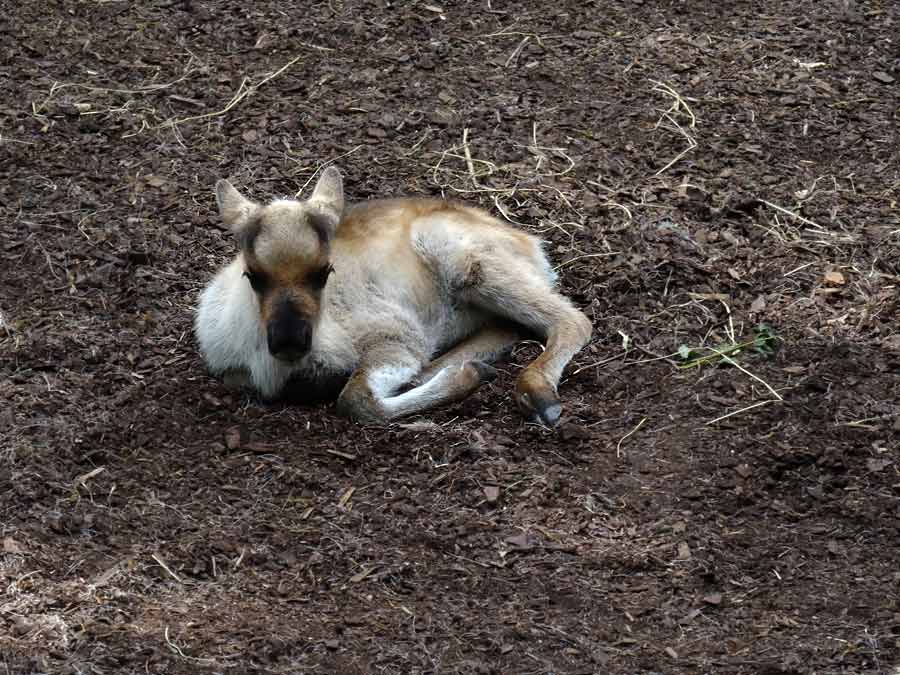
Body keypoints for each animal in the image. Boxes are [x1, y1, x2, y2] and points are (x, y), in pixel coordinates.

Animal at [196, 167, 592, 426]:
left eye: (324, 271)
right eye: (253, 275)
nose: (290, 341)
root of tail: (531, 242)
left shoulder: (397, 337)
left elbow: (355, 400)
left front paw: (469, 377)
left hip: (464, 259)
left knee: (573, 319)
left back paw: (540, 398)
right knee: (509, 327)